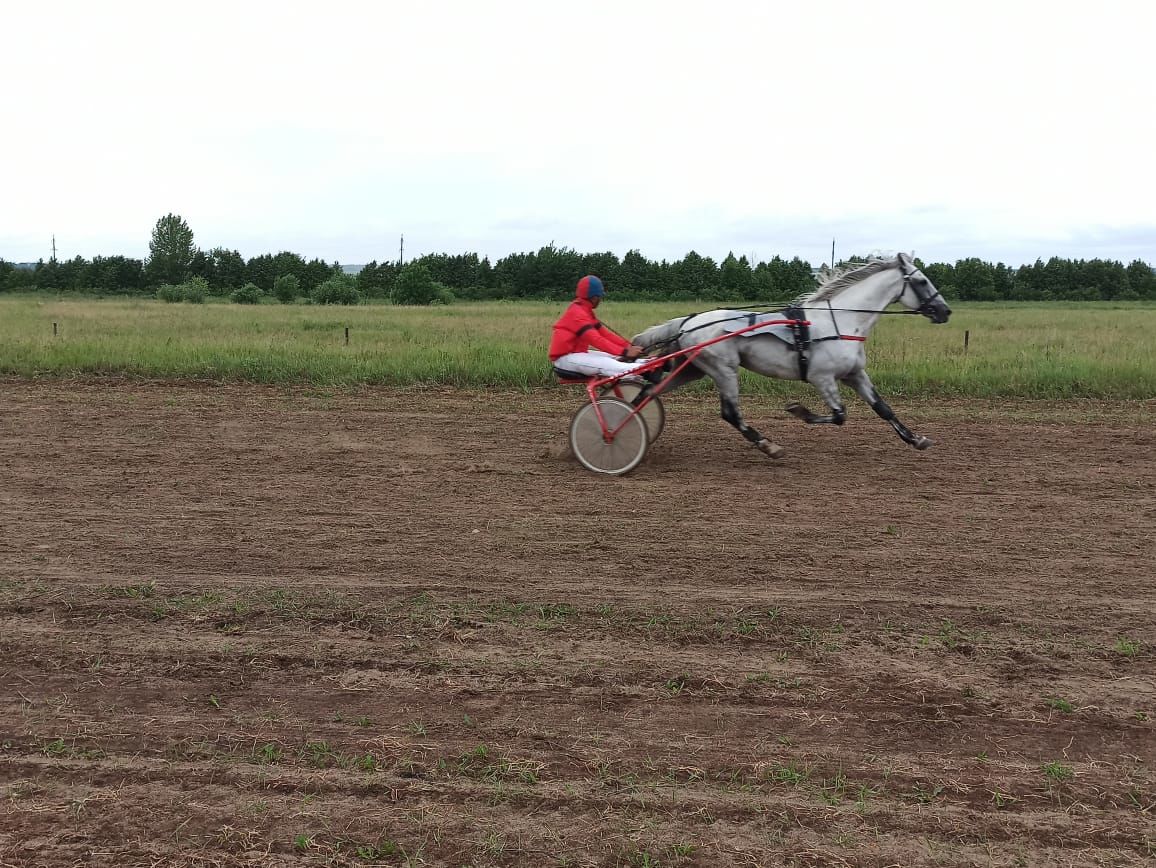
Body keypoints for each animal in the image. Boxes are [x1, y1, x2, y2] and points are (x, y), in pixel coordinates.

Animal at [633, 254, 947, 457]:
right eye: (922, 281)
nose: (945, 311)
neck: (841, 322)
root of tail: (687, 321)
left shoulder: (854, 374)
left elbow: (883, 409)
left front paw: (916, 439)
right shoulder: (822, 378)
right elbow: (839, 416)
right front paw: (798, 410)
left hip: (690, 369)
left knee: (647, 393)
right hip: (724, 370)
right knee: (730, 413)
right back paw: (767, 445)